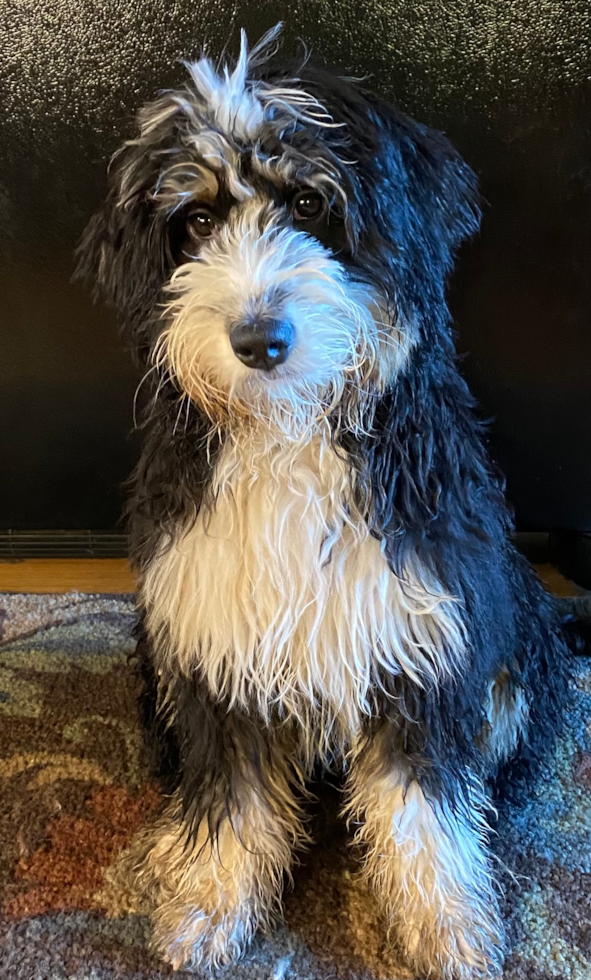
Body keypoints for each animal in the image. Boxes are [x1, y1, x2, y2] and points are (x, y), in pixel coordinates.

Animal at [77, 24, 580, 980]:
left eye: (310, 203)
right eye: (197, 221)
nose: (258, 338)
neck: (291, 435)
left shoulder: (425, 625)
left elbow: (423, 805)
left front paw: (445, 926)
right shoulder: (208, 623)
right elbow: (230, 791)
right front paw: (206, 903)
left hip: (512, 642)